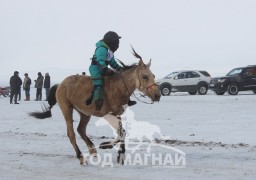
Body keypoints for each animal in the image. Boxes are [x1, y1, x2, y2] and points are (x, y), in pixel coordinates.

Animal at [29, 47, 160, 165]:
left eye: (153, 75)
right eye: (145, 76)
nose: (157, 95)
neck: (118, 87)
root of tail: (60, 84)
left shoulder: (117, 114)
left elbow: (121, 132)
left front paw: (119, 153)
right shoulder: (108, 114)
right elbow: (121, 132)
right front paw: (106, 146)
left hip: (84, 113)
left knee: (81, 129)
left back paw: (92, 150)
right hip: (67, 109)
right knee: (71, 134)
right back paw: (81, 157)